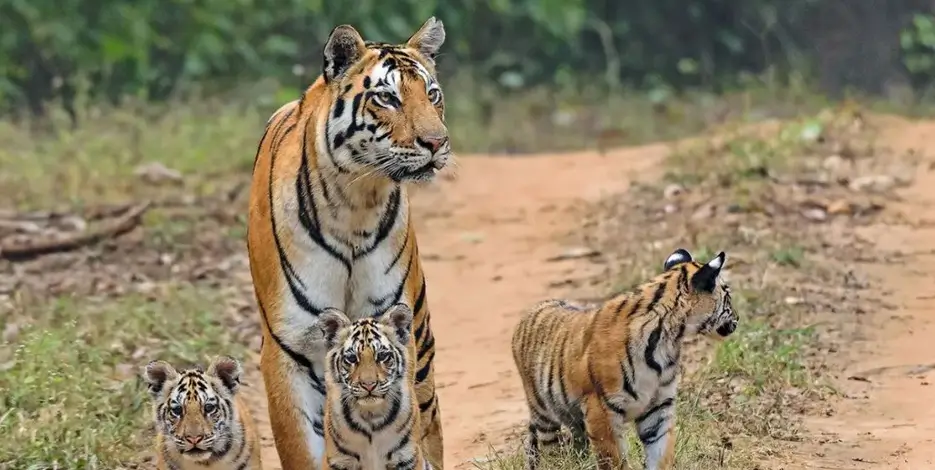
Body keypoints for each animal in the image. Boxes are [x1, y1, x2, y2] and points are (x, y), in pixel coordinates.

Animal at [315, 303, 431, 470]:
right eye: (351, 358)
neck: (370, 416)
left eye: (382, 356)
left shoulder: (406, 457)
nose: (368, 385)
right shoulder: (339, 460)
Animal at [511, 248, 738, 470]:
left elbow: (661, 453)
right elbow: (614, 461)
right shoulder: (601, 410)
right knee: (551, 452)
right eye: (727, 294)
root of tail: (532, 310)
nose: (737, 318)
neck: (669, 339)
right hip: (544, 415)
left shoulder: (658, 407)